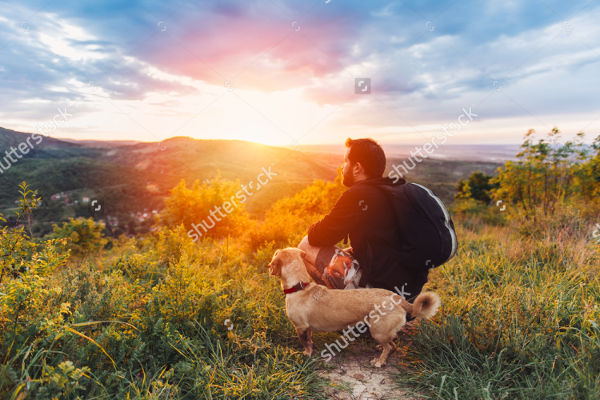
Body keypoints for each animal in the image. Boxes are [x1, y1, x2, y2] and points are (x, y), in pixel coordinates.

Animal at [268, 247, 440, 366]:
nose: (269, 267)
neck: (300, 286)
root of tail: (396, 297)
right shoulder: (307, 328)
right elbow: (310, 340)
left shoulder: (301, 327)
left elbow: (305, 343)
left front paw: (306, 354)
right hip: (382, 331)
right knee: (392, 344)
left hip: (377, 331)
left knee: (390, 346)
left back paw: (379, 362)